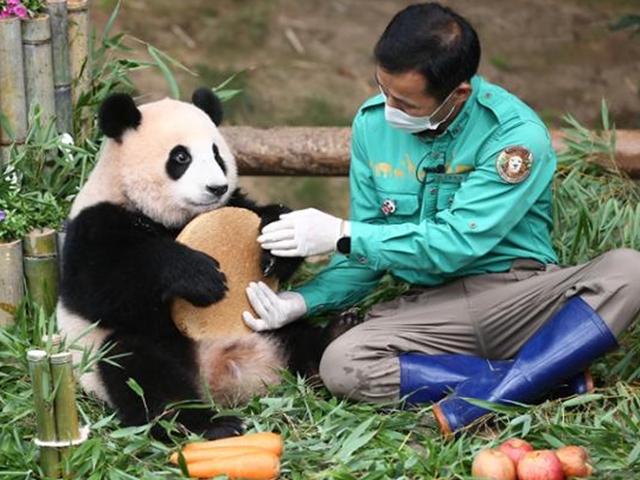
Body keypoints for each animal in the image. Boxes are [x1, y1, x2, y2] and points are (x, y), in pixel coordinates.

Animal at [56, 88, 356, 440]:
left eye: (217, 155)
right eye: (180, 157)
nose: (216, 187)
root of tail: (223, 375)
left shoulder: (233, 202)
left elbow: (263, 215)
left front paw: (277, 242)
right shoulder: (95, 223)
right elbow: (102, 283)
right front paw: (200, 277)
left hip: (268, 328)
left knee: (299, 338)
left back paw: (336, 334)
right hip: (110, 352)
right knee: (139, 370)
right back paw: (206, 423)